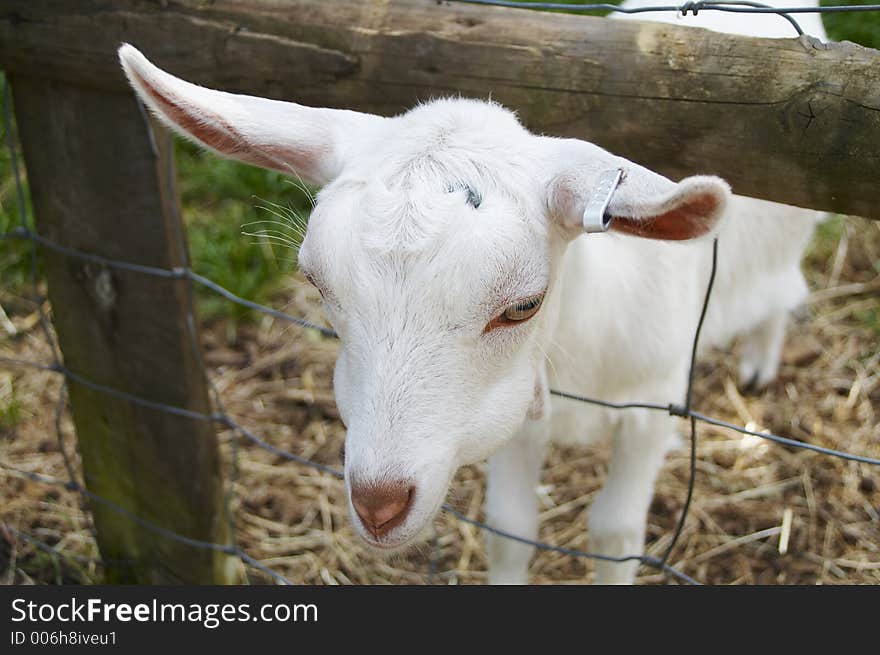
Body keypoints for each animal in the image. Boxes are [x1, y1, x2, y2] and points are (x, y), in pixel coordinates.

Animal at [120, 0, 820, 584]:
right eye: (317, 283)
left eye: (522, 306)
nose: (378, 504)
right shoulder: (513, 409)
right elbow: (511, 530)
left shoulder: (652, 404)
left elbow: (614, 533)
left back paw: (760, 363)